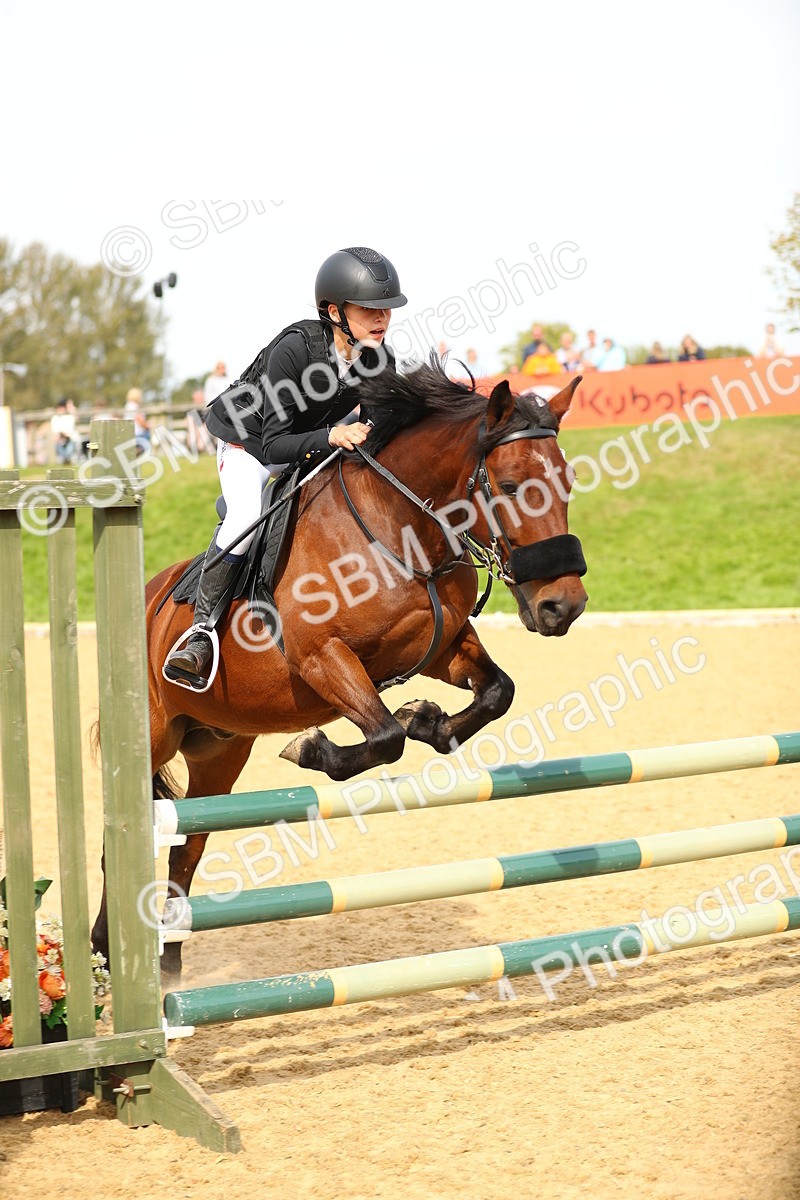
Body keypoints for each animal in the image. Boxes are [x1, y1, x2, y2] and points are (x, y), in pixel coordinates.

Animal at [91, 360, 588, 980]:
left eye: (568, 482)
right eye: (513, 485)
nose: (563, 607)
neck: (400, 526)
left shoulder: (439, 646)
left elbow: (497, 692)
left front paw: (429, 720)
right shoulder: (322, 659)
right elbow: (385, 736)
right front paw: (313, 749)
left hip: (219, 749)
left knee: (189, 843)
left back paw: (168, 961)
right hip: (154, 734)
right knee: (119, 838)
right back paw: (106, 953)